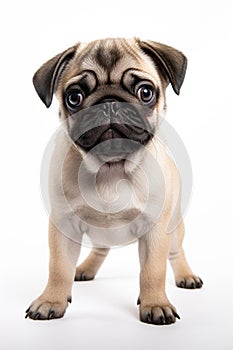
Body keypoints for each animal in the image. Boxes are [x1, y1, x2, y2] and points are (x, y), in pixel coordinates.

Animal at [25, 38, 203, 326]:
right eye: (74, 97)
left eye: (145, 92)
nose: (109, 102)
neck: (111, 168)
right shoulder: (63, 226)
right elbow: (59, 267)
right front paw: (51, 300)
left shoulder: (155, 231)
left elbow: (153, 271)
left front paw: (156, 304)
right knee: (100, 248)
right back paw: (84, 268)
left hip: (174, 228)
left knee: (176, 252)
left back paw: (186, 276)